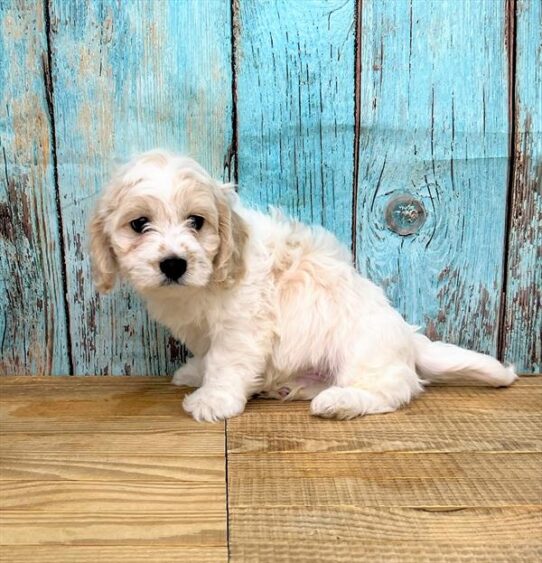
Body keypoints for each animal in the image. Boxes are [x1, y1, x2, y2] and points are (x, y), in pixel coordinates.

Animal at [89, 150, 520, 424]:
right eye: (139, 224)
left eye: (196, 221)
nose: (174, 263)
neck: (205, 281)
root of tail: (408, 337)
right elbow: (208, 356)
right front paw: (196, 372)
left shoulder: (242, 326)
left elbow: (225, 363)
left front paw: (213, 399)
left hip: (363, 353)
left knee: (391, 392)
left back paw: (339, 402)